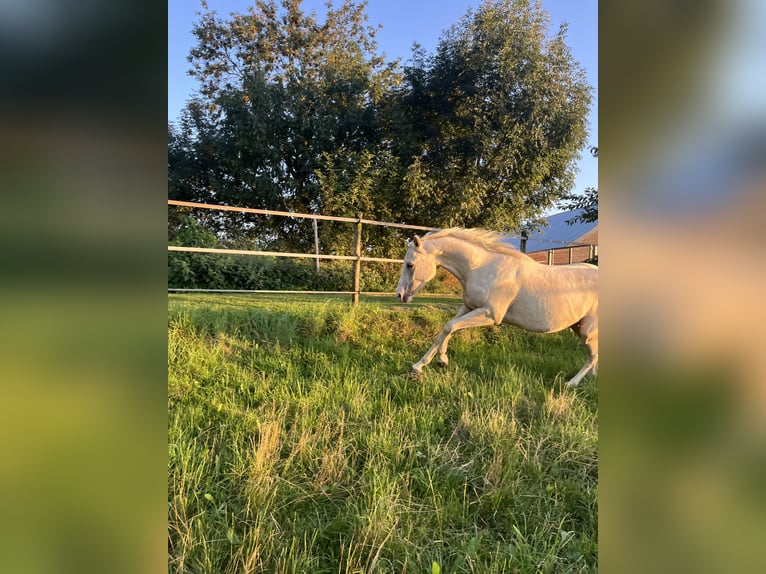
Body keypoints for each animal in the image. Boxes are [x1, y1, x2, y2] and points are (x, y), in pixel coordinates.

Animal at [395, 228, 598, 387]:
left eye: (410, 264)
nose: (400, 295)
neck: (482, 268)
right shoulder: (469, 307)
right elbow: (448, 328)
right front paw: (424, 365)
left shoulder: (490, 314)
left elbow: (450, 327)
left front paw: (436, 361)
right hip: (579, 327)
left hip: (587, 331)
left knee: (593, 357)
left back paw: (571, 383)